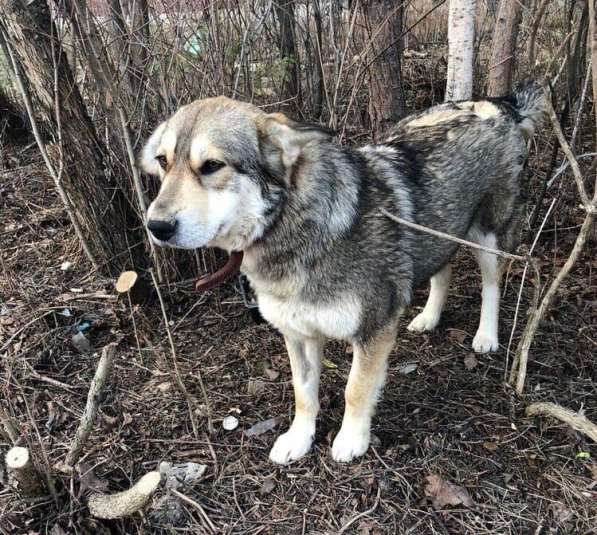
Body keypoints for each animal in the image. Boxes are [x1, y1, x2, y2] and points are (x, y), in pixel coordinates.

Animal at [139, 84, 544, 464]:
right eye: (162, 161)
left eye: (211, 165)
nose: (155, 226)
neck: (295, 226)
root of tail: (498, 103)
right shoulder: (298, 335)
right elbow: (304, 394)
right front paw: (298, 439)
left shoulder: (373, 331)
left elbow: (356, 390)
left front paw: (351, 440)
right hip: (437, 235)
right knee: (440, 273)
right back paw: (428, 317)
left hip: (490, 237)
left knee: (492, 285)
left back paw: (486, 336)